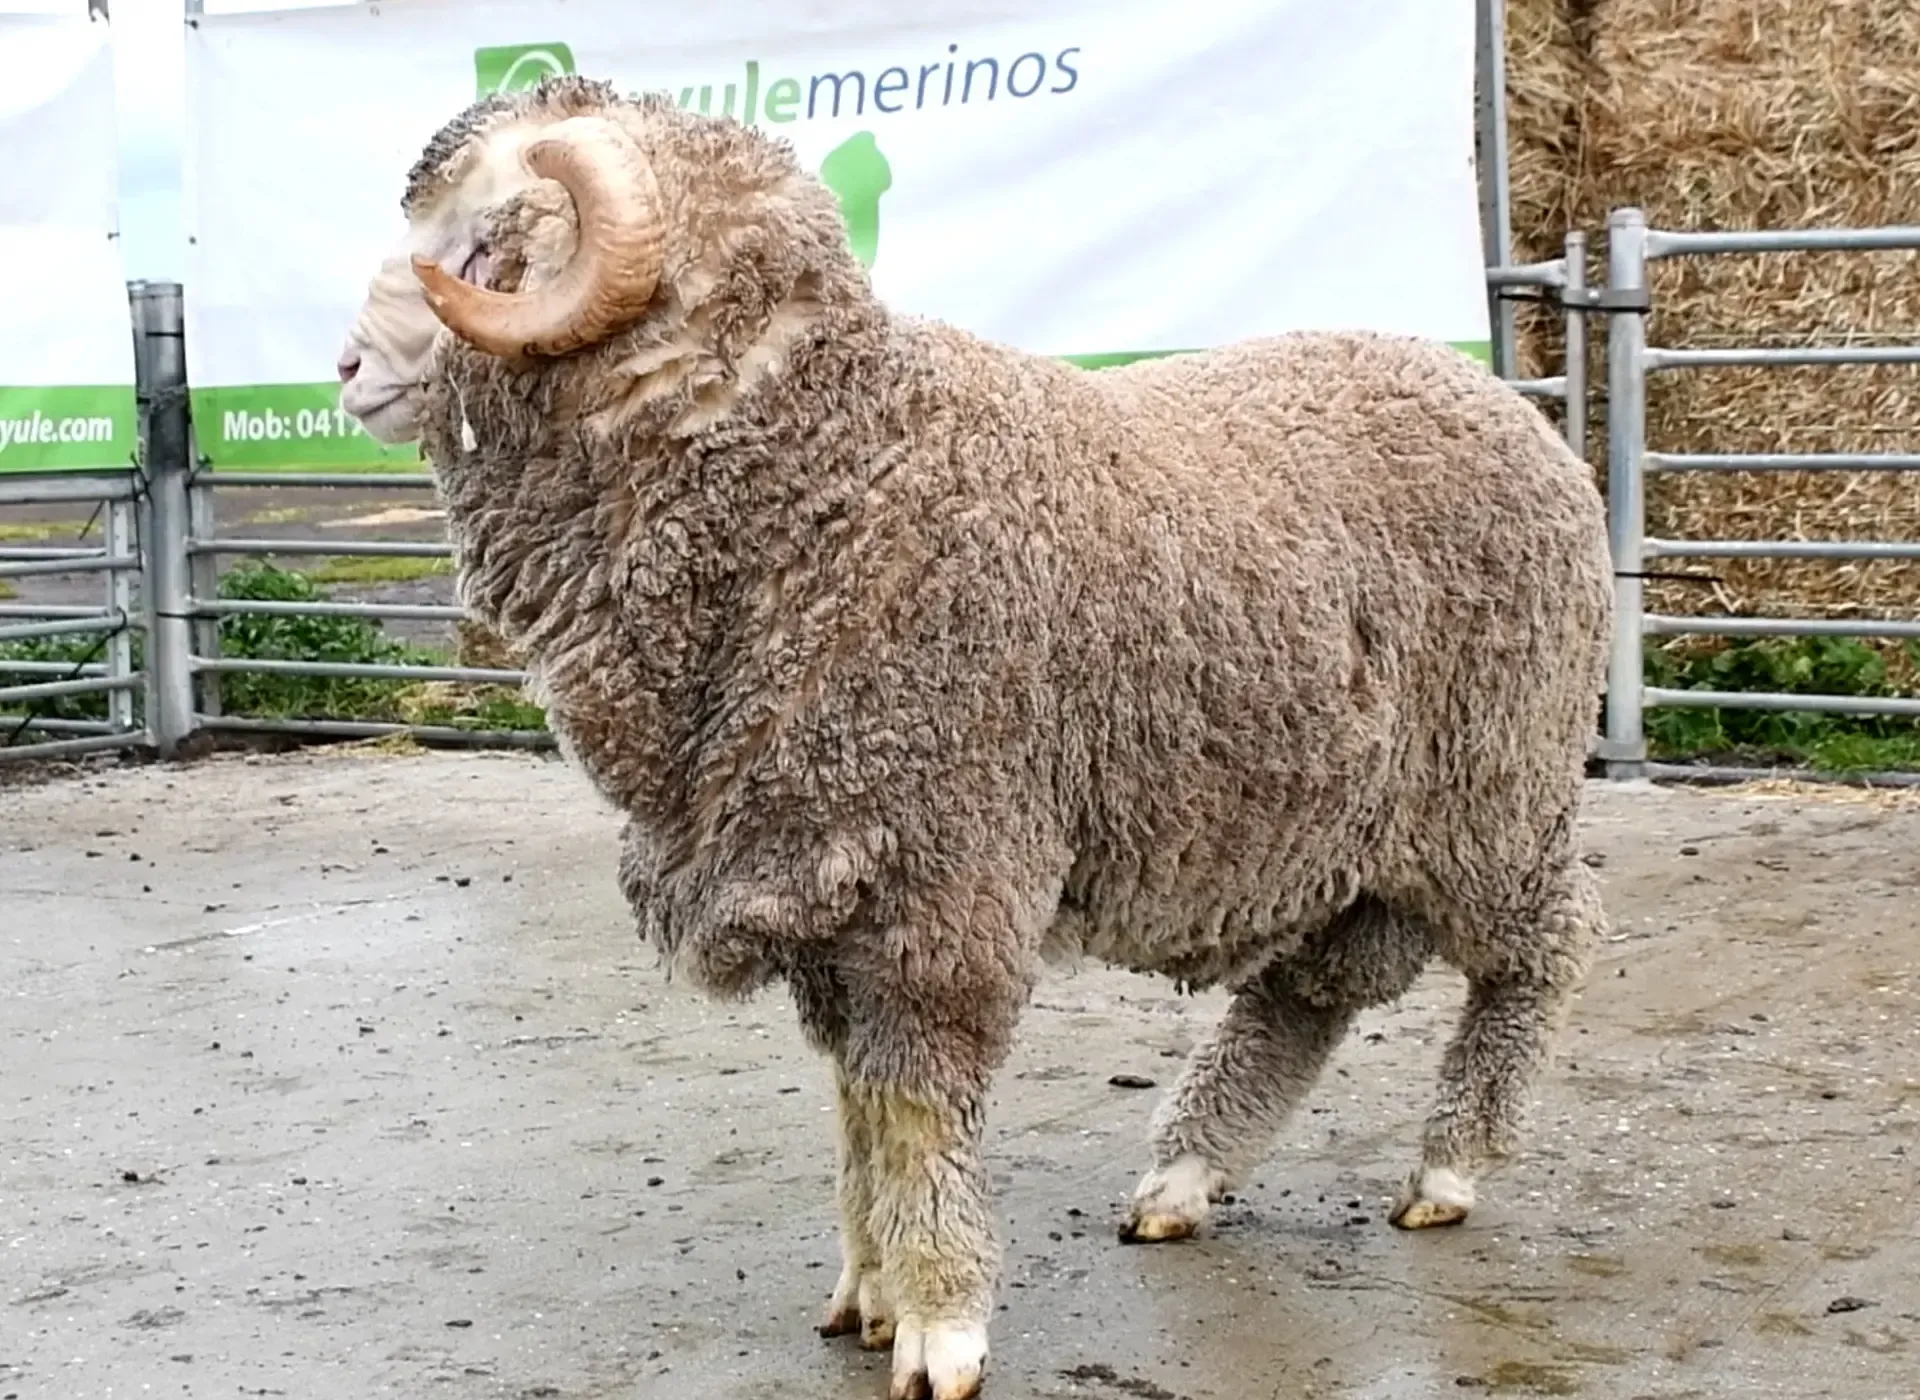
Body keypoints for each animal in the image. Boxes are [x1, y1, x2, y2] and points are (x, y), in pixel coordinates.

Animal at [336, 75, 1616, 1400]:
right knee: (1303, 994)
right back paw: (1183, 1178)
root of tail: (1519, 414)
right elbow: (856, 1106)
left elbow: (913, 1112)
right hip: (1339, 829)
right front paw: (868, 1291)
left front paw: (942, 1325)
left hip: (1496, 787)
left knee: (1544, 946)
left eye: (481, 242)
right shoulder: (826, 885)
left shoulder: (941, 874)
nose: (344, 366)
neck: (838, 478)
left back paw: (1446, 1168)